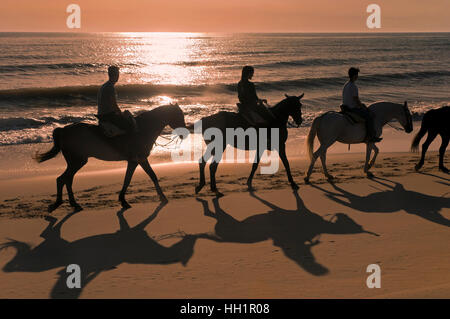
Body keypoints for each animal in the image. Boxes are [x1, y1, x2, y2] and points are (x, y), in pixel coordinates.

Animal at [32, 104, 185, 212]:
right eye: (179, 116)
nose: (184, 133)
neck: (143, 129)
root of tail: (63, 130)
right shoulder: (138, 160)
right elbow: (142, 177)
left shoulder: (136, 160)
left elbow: (138, 178)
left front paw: (125, 200)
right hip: (77, 161)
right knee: (62, 179)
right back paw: (60, 204)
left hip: (75, 162)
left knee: (67, 180)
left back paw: (74, 204)